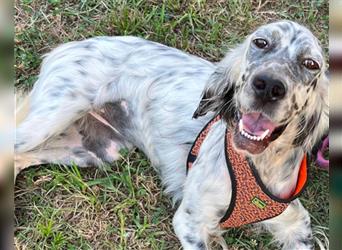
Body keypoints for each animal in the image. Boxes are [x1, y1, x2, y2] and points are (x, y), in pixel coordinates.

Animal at [15, 20, 328, 249]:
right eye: (260, 42)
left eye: (311, 64)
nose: (269, 86)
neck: (260, 164)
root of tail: (68, 46)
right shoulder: (190, 222)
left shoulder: (295, 225)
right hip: (50, 119)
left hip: (93, 150)